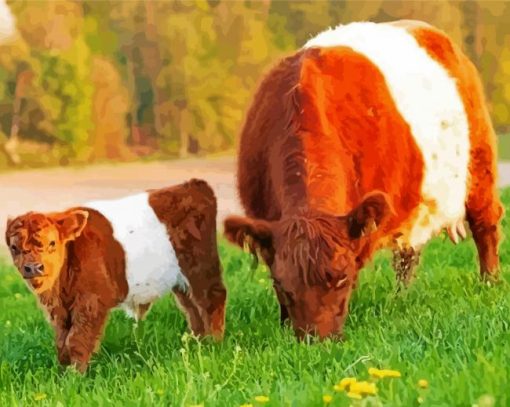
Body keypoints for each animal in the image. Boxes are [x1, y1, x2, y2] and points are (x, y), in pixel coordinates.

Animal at [4, 180, 225, 374]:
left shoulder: (90, 302)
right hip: (180, 280)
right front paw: (62, 373)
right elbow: (61, 343)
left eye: (52, 243)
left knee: (212, 299)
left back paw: (215, 343)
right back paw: (199, 343)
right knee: (192, 308)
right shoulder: (61, 311)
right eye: (14, 247)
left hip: (200, 267)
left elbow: (76, 340)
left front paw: (74, 377)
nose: (33, 267)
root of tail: (193, 184)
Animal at [225, 19, 504, 340]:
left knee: (485, 225)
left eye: (342, 279)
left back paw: (489, 283)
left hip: (479, 165)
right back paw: (401, 298)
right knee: (408, 256)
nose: (316, 341)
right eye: (284, 286)